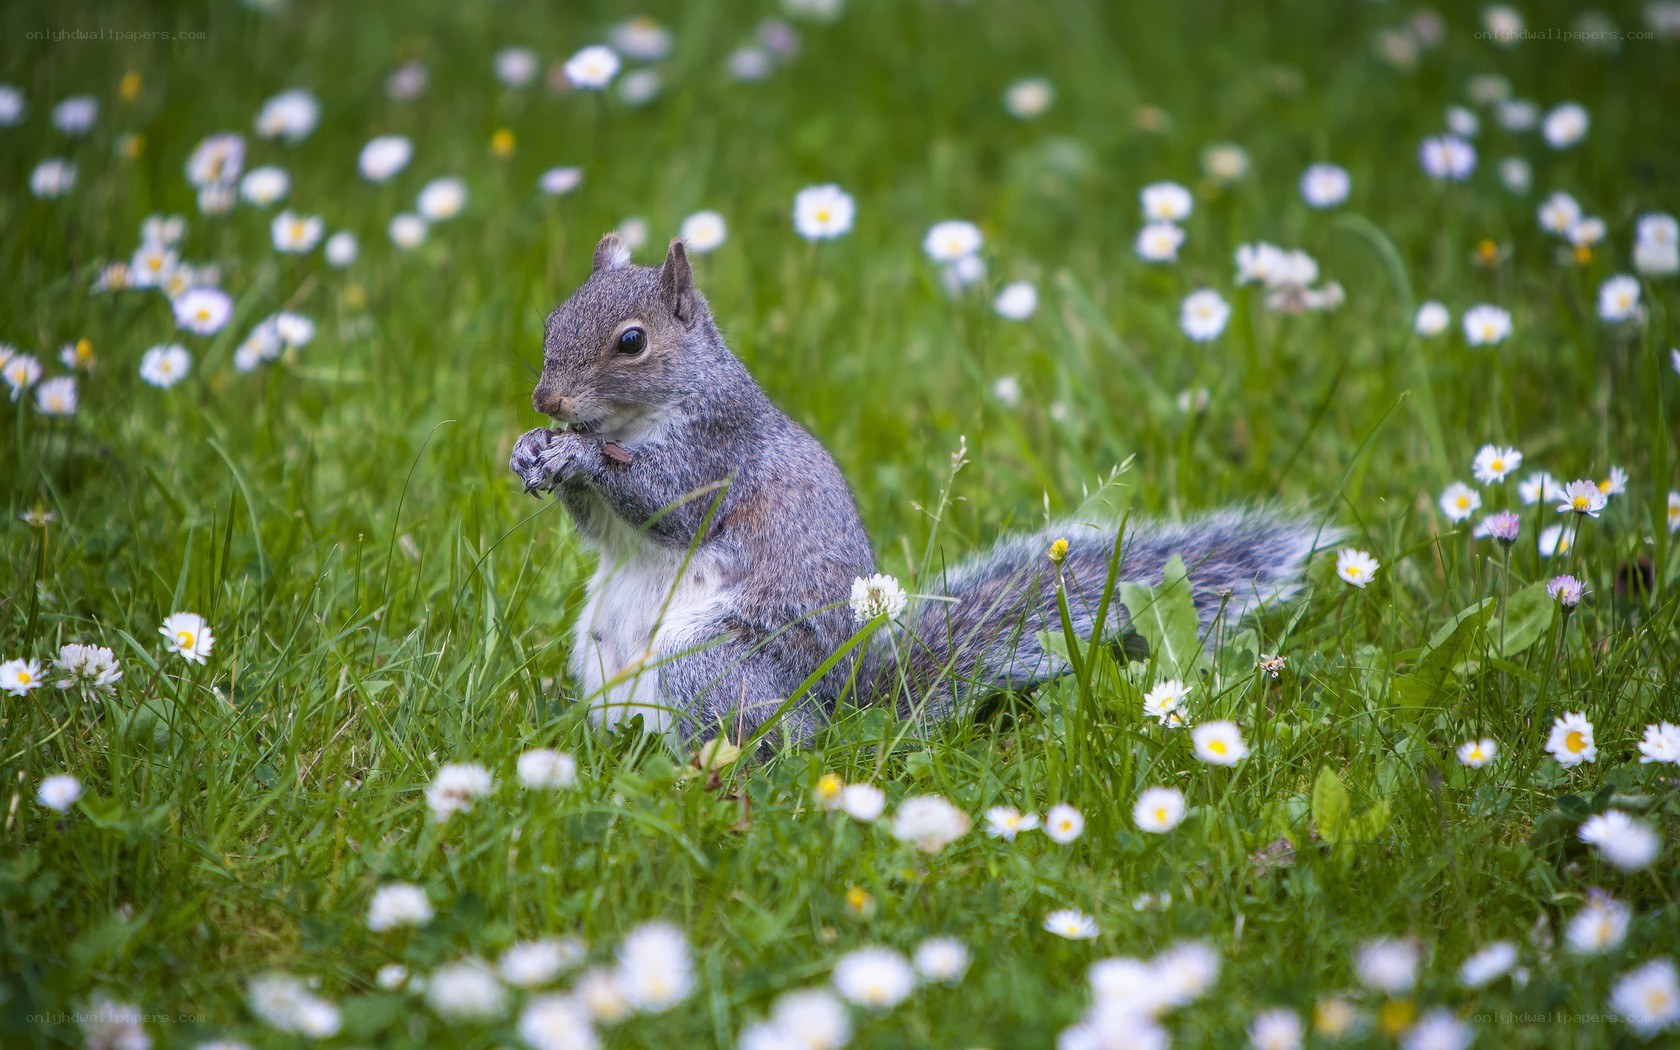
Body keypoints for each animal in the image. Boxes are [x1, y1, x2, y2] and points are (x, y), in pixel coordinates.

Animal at [511, 234, 1333, 745]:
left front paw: (577, 455)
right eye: (550, 318)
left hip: (708, 666)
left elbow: (666, 498)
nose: (546, 402)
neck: (637, 417)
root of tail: (834, 713)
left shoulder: (718, 449)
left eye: (632, 342)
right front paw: (532, 453)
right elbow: (599, 524)